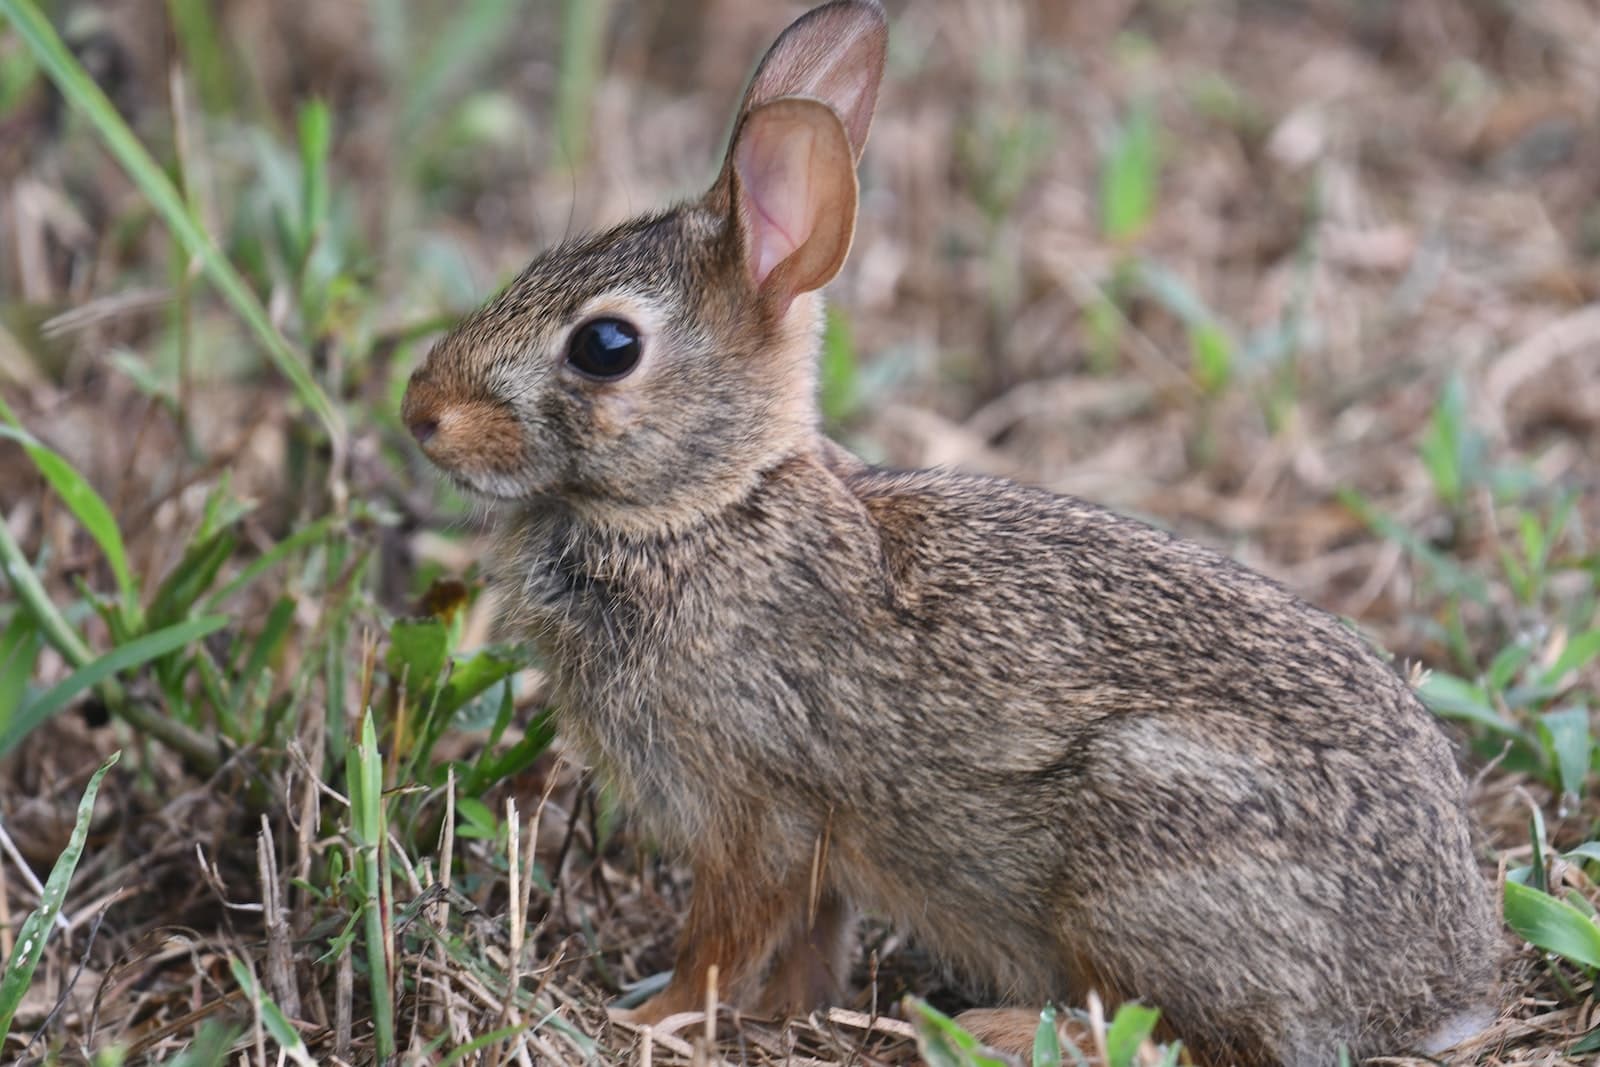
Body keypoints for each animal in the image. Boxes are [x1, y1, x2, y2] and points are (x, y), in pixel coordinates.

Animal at [400, 4, 1497, 1062]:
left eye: (605, 345)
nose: (420, 413)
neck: (708, 508)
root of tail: (1428, 991)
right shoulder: (817, 850)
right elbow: (809, 940)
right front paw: (779, 1015)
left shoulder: (757, 810)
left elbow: (726, 935)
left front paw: (653, 1016)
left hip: (1145, 846)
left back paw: (1005, 1030)